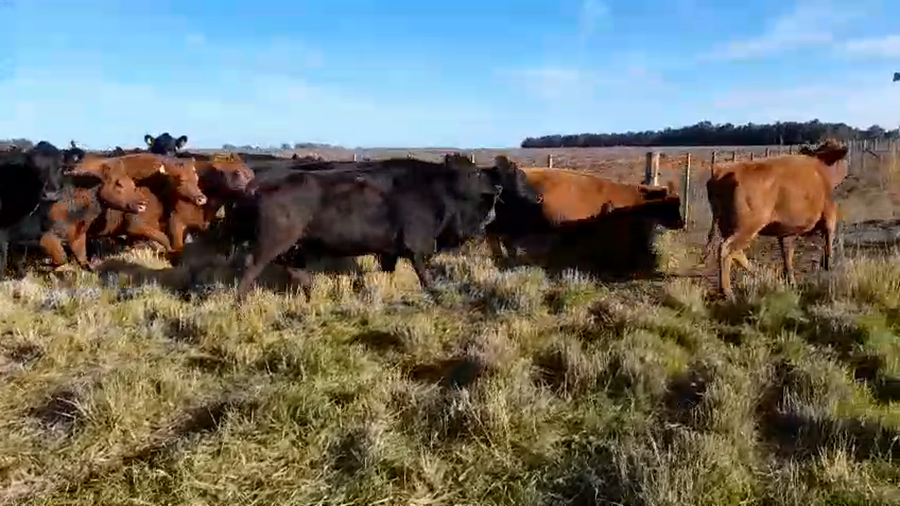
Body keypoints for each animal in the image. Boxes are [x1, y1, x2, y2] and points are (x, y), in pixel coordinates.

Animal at [3, 159, 149, 273]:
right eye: (118, 183)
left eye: (132, 183)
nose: (143, 203)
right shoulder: (44, 236)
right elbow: (61, 257)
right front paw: (43, 267)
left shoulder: (77, 238)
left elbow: (83, 263)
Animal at [209, 157, 519, 299]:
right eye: (475, 174)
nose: (498, 187)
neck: (438, 188)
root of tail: (256, 185)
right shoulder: (416, 244)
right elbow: (422, 270)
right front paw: (433, 289)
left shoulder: (391, 249)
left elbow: (389, 267)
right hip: (273, 242)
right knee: (252, 265)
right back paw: (240, 301)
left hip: (293, 244)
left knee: (293, 268)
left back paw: (312, 292)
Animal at [703, 139, 849, 297]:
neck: (821, 170)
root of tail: (721, 171)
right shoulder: (829, 215)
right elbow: (828, 241)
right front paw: (828, 265)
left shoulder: (786, 231)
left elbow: (787, 255)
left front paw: (790, 281)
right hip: (747, 227)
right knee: (726, 249)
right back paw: (727, 291)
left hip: (727, 226)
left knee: (736, 252)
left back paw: (761, 272)